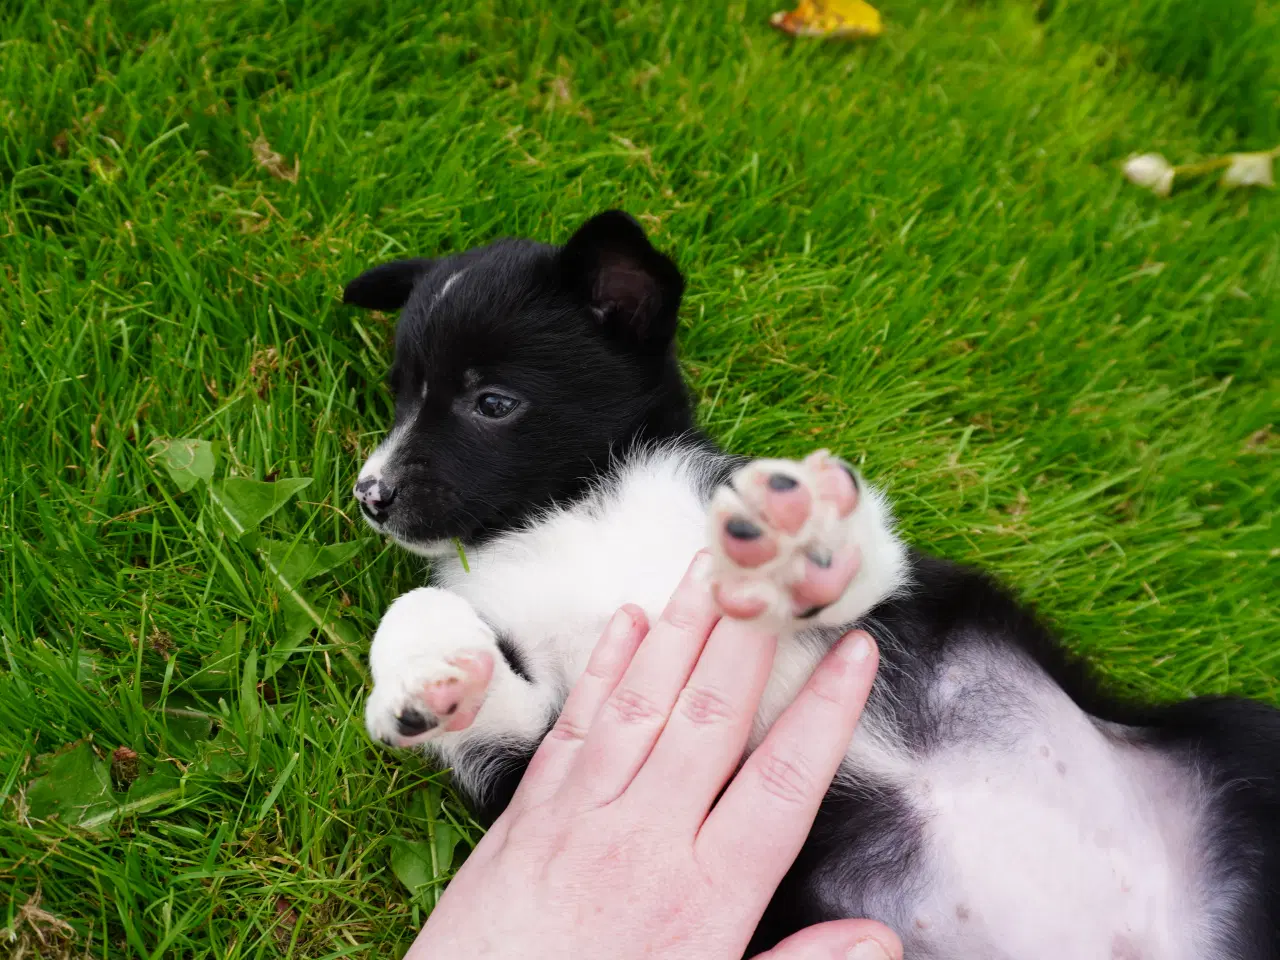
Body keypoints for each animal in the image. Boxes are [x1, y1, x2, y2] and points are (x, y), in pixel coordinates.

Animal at [343, 213, 1280, 957]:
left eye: (492, 402)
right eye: (398, 397)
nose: (369, 495)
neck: (570, 515)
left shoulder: (876, 587)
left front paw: (795, 544)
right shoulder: (543, 733)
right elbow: (433, 621)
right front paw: (430, 681)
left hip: (1242, 732)